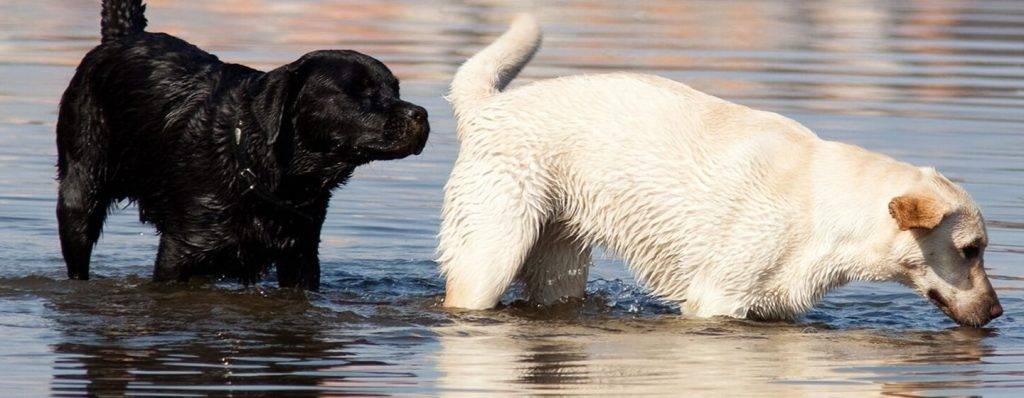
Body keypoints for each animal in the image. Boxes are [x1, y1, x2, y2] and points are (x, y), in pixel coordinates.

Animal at [52, 0, 428, 288]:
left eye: (394, 89)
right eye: (358, 91)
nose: (421, 113)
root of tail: (123, 36)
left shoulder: (302, 254)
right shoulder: (180, 251)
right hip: (79, 189)